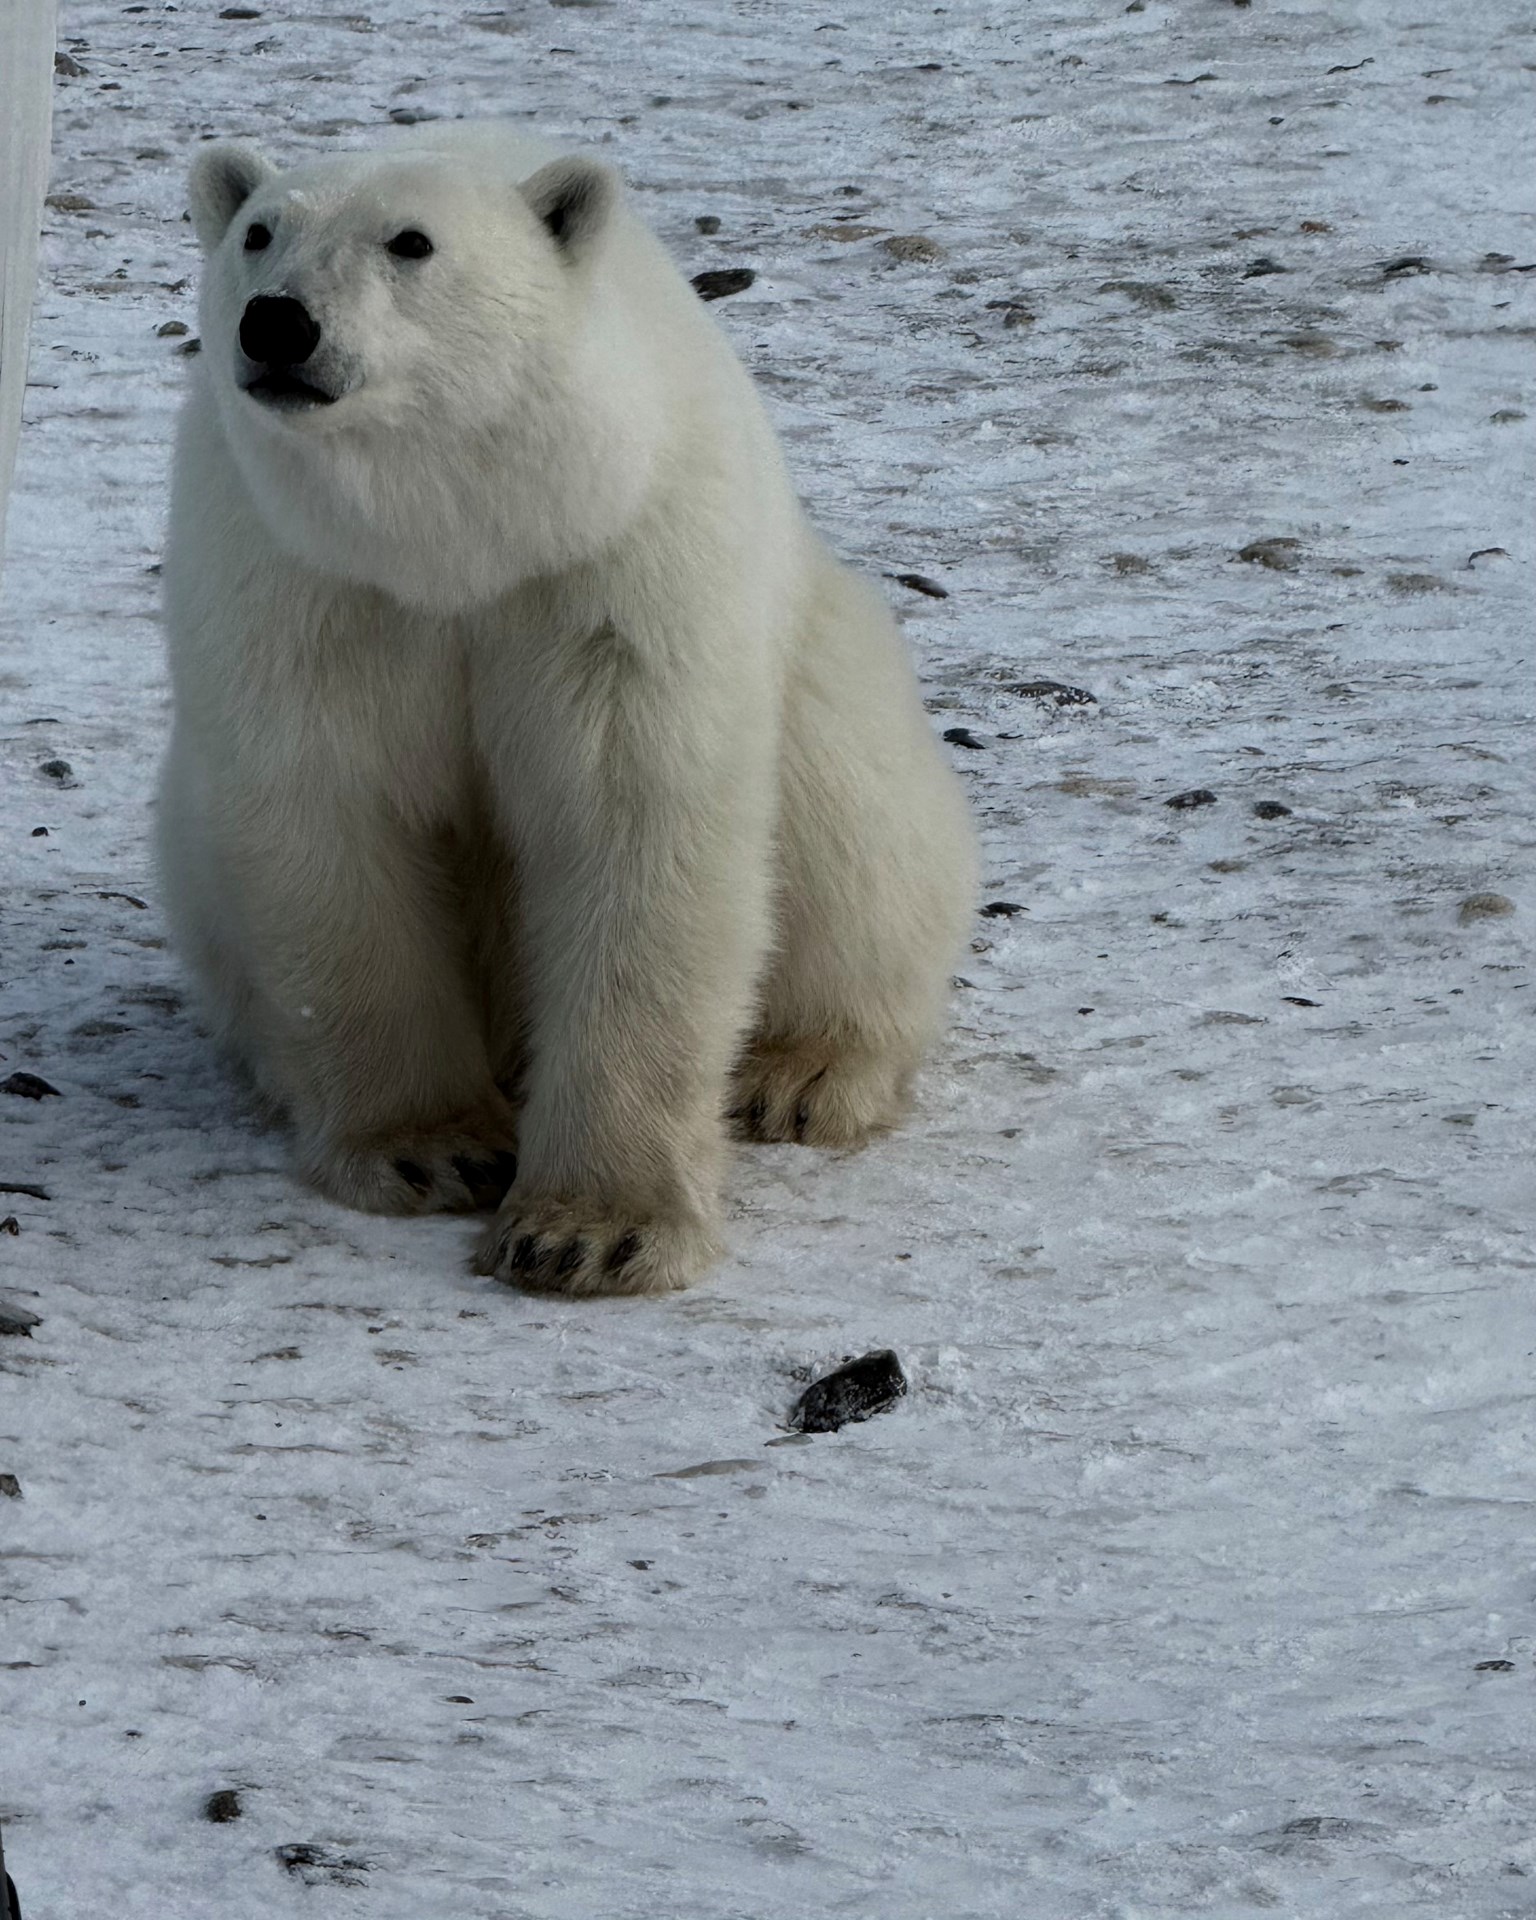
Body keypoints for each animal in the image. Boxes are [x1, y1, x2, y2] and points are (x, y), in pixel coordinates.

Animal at [157, 124, 977, 1296]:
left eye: (411, 242)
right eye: (259, 232)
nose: (277, 322)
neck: (467, 538)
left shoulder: (612, 574)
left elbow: (632, 827)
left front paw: (590, 1231)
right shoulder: (303, 583)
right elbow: (328, 821)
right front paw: (429, 1148)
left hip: (829, 679)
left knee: (860, 828)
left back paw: (802, 1071)